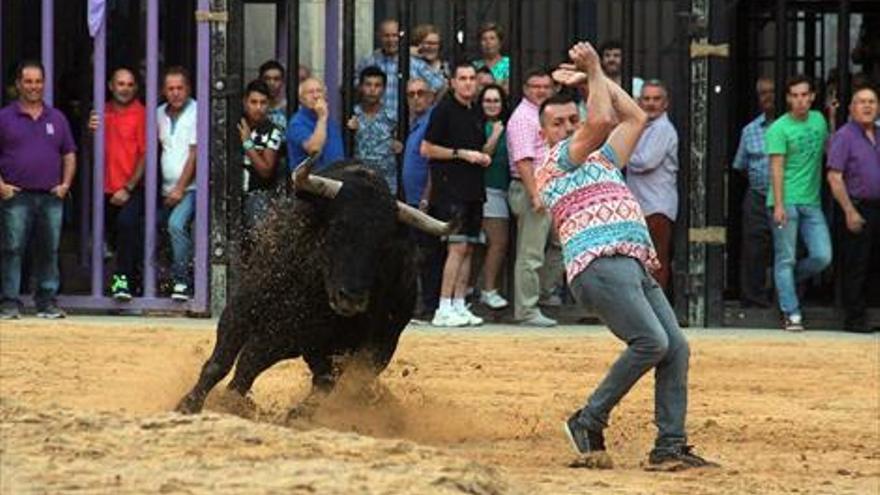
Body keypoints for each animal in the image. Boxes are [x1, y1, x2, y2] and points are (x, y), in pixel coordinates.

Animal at [176, 159, 458, 414]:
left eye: (383, 243)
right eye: (338, 227)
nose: (351, 298)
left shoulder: (286, 335)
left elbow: (248, 363)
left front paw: (228, 403)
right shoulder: (242, 308)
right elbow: (220, 362)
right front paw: (188, 404)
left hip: (373, 347)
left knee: (327, 382)